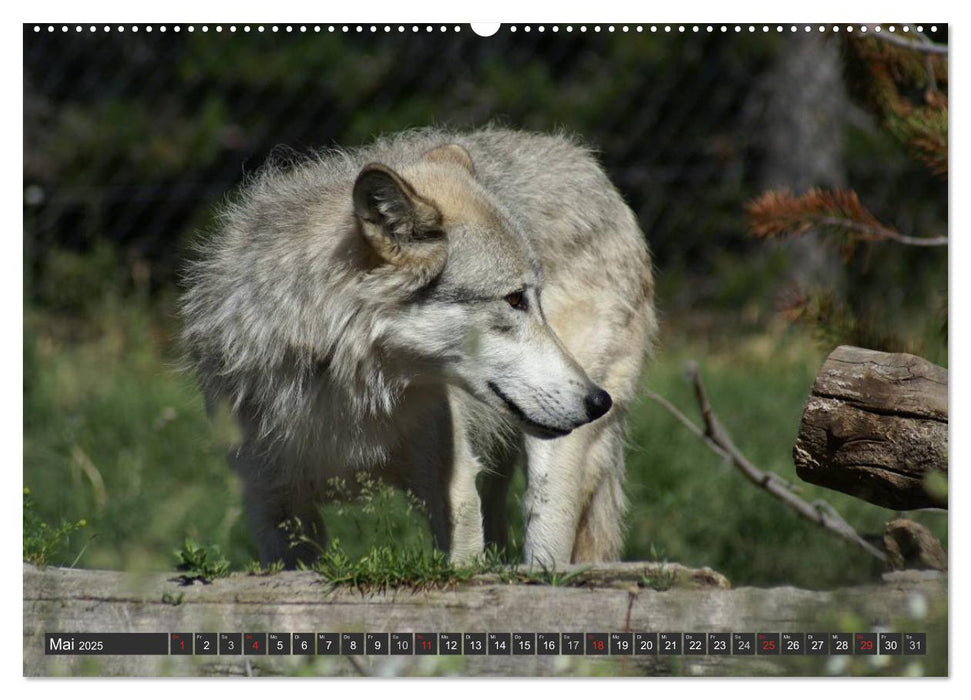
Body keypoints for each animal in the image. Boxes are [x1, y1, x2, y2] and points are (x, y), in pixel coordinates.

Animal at [179, 129, 656, 568]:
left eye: (535, 298)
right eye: (515, 299)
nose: (598, 401)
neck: (345, 386)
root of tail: (589, 164)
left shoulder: (454, 491)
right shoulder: (274, 509)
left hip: (553, 465)